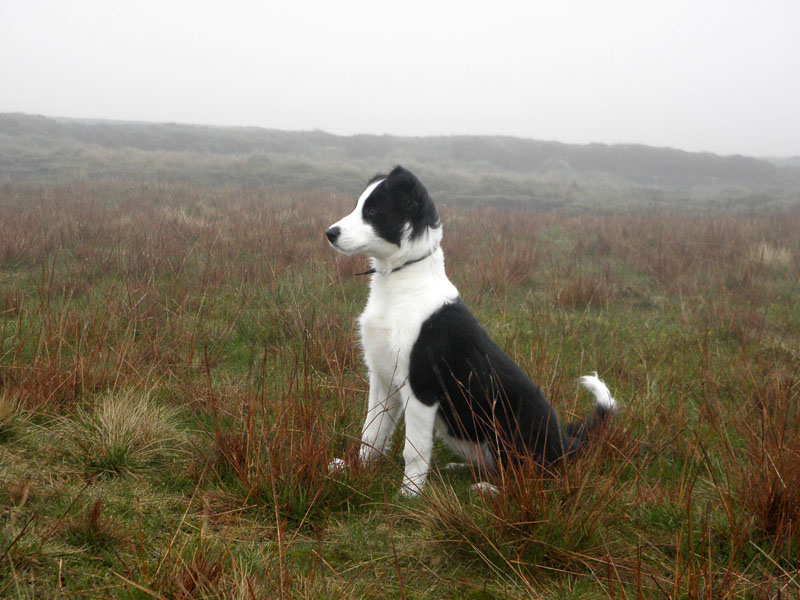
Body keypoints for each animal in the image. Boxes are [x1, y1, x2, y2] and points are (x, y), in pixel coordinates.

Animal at [324, 166, 620, 494]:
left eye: (373, 211)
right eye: (357, 206)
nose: (330, 233)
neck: (401, 282)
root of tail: (569, 446)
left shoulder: (421, 387)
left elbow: (413, 449)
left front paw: (409, 494)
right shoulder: (382, 380)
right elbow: (371, 434)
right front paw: (357, 472)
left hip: (510, 424)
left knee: (529, 475)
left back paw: (487, 490)